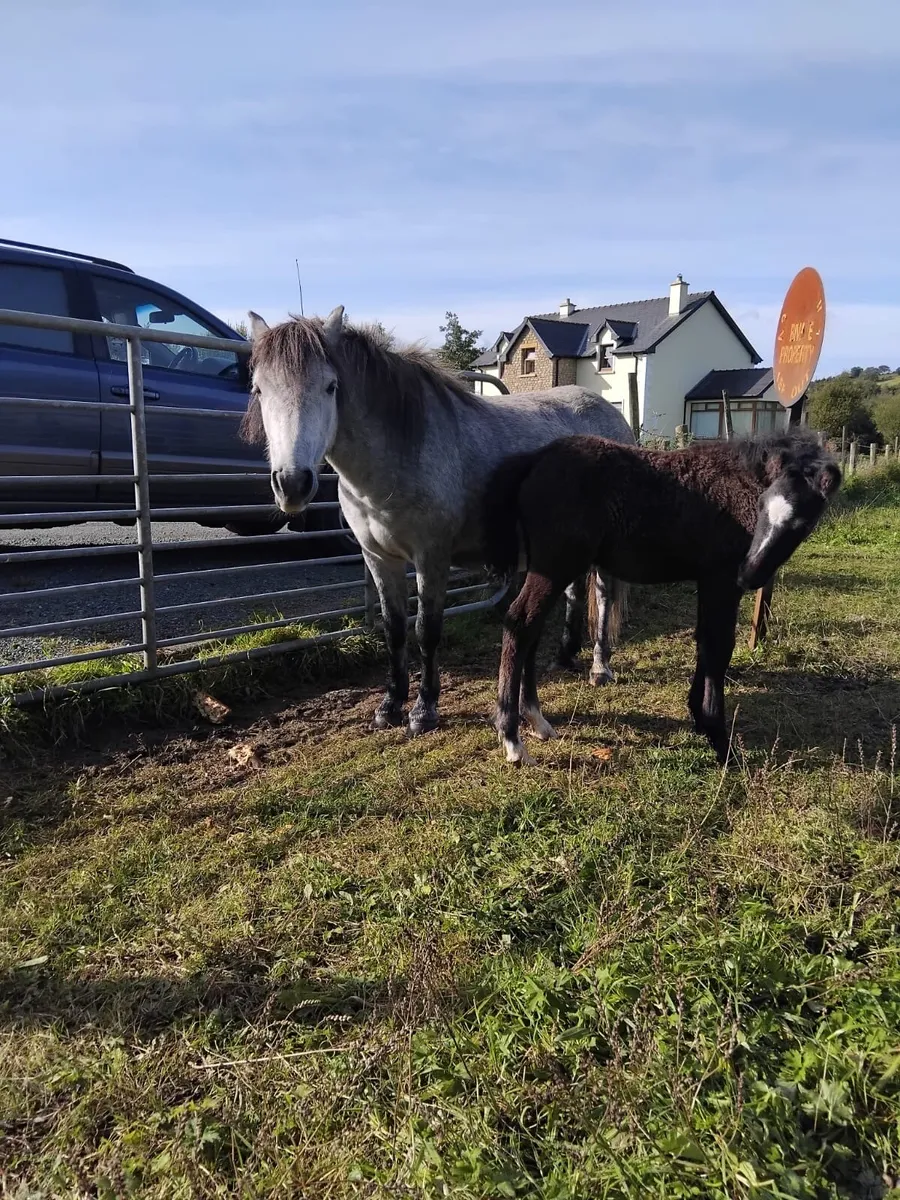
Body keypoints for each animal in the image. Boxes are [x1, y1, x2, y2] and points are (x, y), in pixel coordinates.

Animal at [239, 307, 635, 735]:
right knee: (575, 593)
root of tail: (611, 415)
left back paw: (599, 667)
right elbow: (394, 630)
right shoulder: (380, 559)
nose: (293, 484)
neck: (400, 453)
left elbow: (425, 631)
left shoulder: (432, 558)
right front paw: (389, 706)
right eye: (259, 390)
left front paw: (423, 710)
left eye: (331, 387)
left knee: (602, 594)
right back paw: (563, 657)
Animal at [482, 430, 841, 765]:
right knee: (520, 622)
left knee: (532, 629)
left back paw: (537, 721)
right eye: (763, 505)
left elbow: (704, 643)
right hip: (557, 565)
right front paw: (721, 742)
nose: (750, 574)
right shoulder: (722, 580)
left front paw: (699, 719)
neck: (736, 484)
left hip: (551, 567)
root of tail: (536, 459)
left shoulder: (710, 581)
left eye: (803, 521)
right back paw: (512, 740)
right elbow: (718, 648)